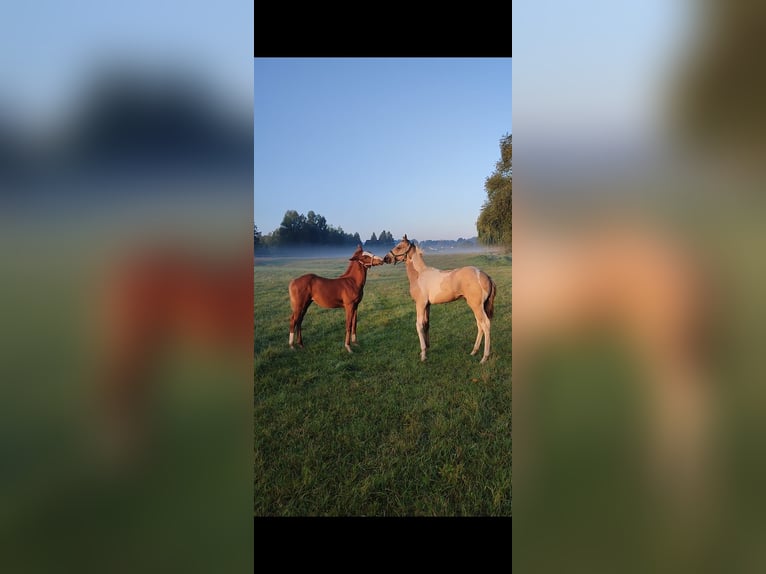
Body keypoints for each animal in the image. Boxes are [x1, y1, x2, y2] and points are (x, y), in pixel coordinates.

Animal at [384, 235, 498, 364]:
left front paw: (423, 355)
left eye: (399, 247)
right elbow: (426, 323)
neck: (419, 275)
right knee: (480, 325)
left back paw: (484, 357)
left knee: (485, 324)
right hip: (477, 306)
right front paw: (427, 348)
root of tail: (485, 276)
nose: (386, 258)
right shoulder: (427, 305)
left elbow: (418, 325)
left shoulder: (420, 304)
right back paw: (474, 351)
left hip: (477, 306)